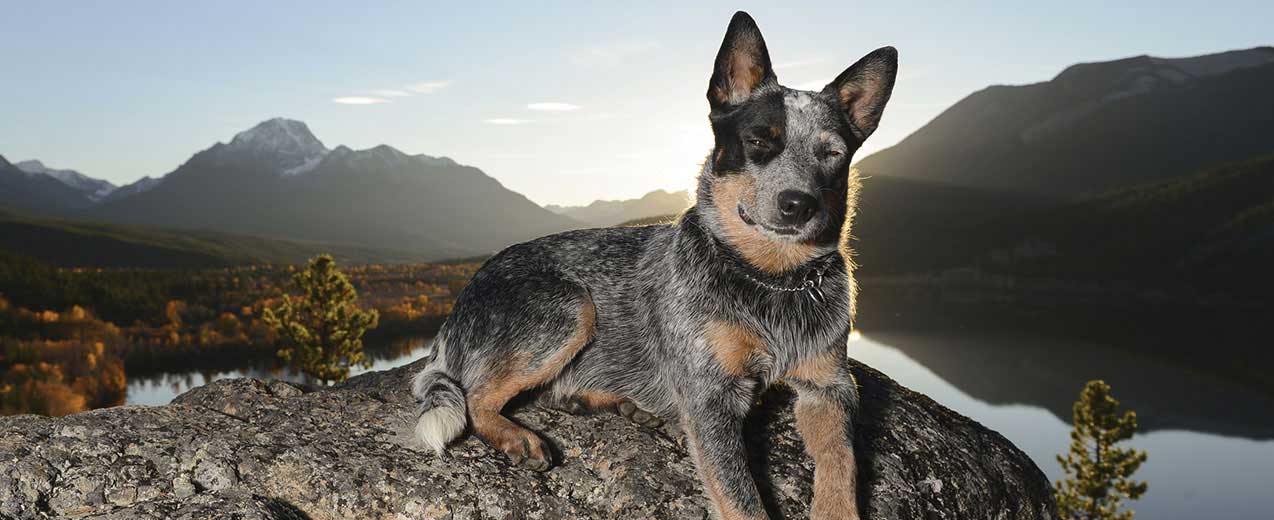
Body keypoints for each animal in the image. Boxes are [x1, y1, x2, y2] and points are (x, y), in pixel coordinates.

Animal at [412, 12, 891, 520]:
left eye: (832, 154)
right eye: (759, 140)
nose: (798, 204)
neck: (771, 280)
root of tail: (456, 309)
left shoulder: (830, 385)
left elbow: (841, 464)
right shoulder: (711, 399)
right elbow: (742, 499)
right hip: (569, 307)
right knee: (476, 396)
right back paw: (517, 436)